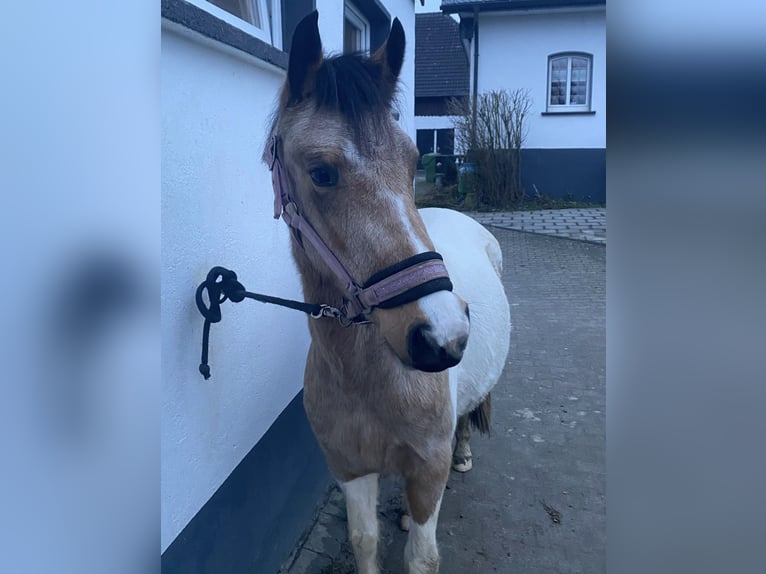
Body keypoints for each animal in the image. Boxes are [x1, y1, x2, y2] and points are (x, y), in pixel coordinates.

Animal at [263, 12, 510, 574]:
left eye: (414, 158)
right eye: (321, 172)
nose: (442, 335)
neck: (368, 377)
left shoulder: (428, 471)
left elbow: (421, 557)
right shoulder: (351, 470)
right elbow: (364, 541)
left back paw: (466, 450)